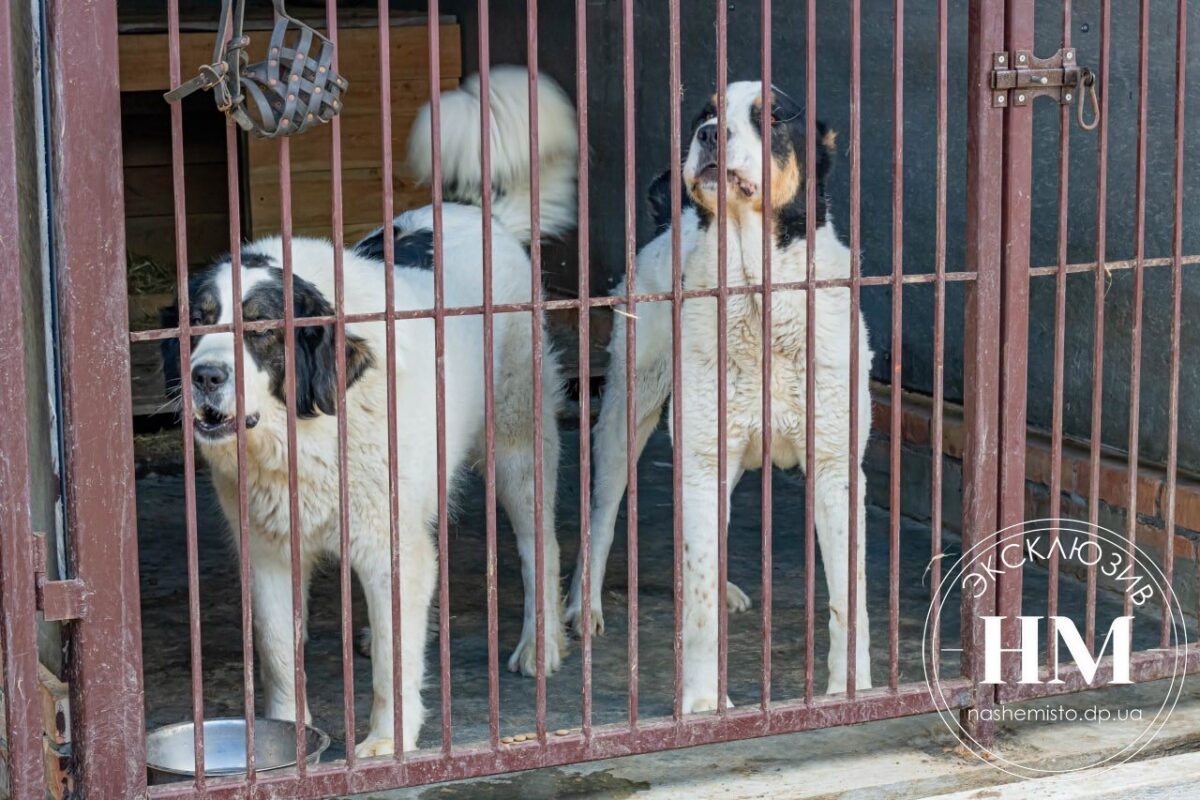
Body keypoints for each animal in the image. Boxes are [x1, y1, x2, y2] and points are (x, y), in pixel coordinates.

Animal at [163, 67, 576, 758]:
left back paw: (538, 646)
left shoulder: (389, 540)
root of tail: (483, 216)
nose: (206, 376)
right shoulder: (269, 550)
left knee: (535, 544)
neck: (306, 432)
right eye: (199, 322)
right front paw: (286, 740)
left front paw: (388, 741)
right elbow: (281, 652)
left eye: (263, 330)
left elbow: (393, 657)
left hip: (518, 444)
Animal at [566, 79, 878, 705]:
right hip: (625, 418)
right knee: (603, 517)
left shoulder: (836, 469)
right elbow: (701, 607)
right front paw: (706, 703)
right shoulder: (703, 458)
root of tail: (669, 224)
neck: (758, 294)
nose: (708, 135)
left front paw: (848, 691)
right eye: (704, 114)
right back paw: (583, 605)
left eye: (774, 116)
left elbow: (846, 598)